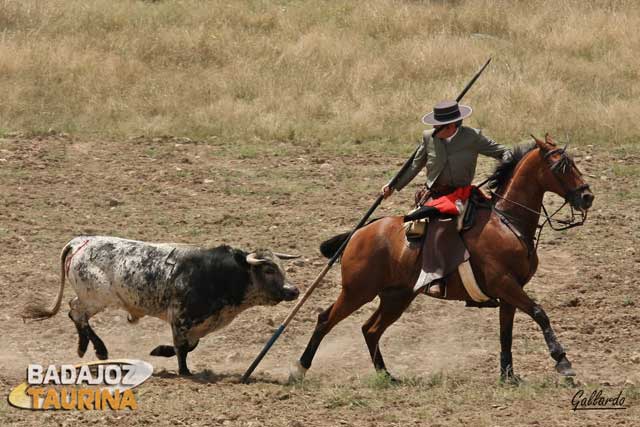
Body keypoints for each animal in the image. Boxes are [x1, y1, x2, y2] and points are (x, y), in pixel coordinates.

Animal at [21, 236, 298, 376]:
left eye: (281, 267)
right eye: (268, 269)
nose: (293, 290)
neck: (219, 273)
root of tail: (80, 242)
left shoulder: (197, 323)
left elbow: (190, 345)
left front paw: (161, 351)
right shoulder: (180, 317)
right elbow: (183, 348)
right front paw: (184, 372)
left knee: (74, 312)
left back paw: (84, 348)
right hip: (97, 298)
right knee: (76, 311)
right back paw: (98, 349)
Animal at [290, 135, 596, 384]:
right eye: (561, 167)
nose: (587, 196)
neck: (506, 221)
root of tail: (359, 233)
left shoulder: (510, 292)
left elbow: (506, 332)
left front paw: (508, 376)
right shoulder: (505, 283)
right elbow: (539, 313)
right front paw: (563, 362)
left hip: (396, 297)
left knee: (370, 329)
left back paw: (386, 375)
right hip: (357, 291)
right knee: (326, 319)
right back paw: (299, 369)